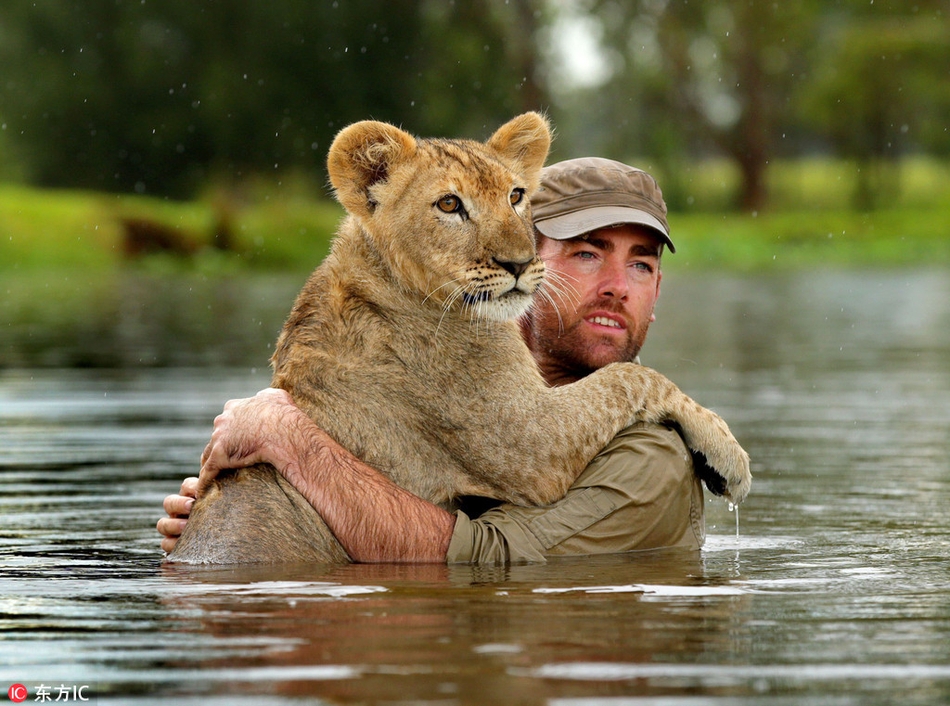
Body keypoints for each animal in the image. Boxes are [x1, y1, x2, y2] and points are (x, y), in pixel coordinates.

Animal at [169, 113, 752, 564]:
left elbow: (627, 374)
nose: (519, 263)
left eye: (516, 196)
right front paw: (729, 456)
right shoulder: (530, 442)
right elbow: (631, 375)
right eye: (450, 205)